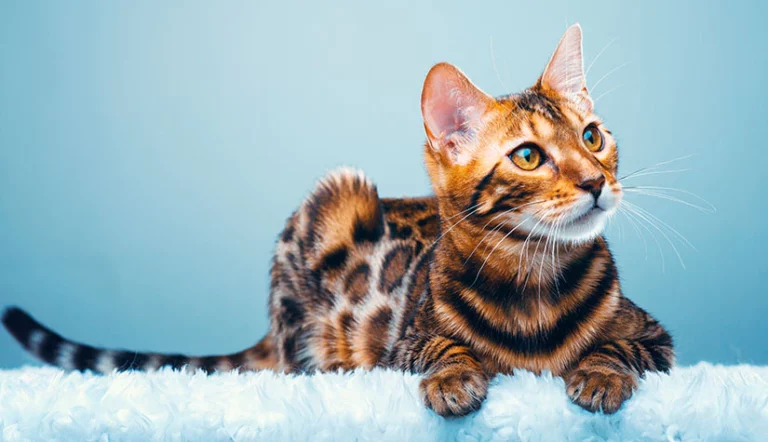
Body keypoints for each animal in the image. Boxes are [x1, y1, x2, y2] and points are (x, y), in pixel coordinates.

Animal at [1, 25, 672, 418]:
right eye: (528, 156)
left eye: (592, 137)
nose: (596, 181)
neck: (533, 281)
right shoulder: (406, 343)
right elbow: (446, 347)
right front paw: (455, 379)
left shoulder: (656, 338)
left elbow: (615, 346)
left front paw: (599, 376)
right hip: (331, 202)